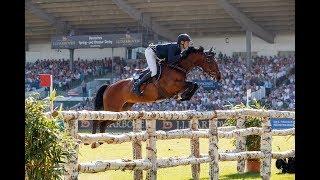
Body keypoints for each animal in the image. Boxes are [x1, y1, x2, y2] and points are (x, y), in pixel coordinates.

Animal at [90, 46, 220, 145]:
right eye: (209, 61)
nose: (219, 76)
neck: (177, 67)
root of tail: (109, 86)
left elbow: (194, 84)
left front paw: (182, 96)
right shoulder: (171, 87)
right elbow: (193, 83)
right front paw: (184, 96)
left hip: (122, 110)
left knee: (103, 122)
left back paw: (100, 140)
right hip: (113, 110)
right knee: (101, 121)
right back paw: (98, 141)